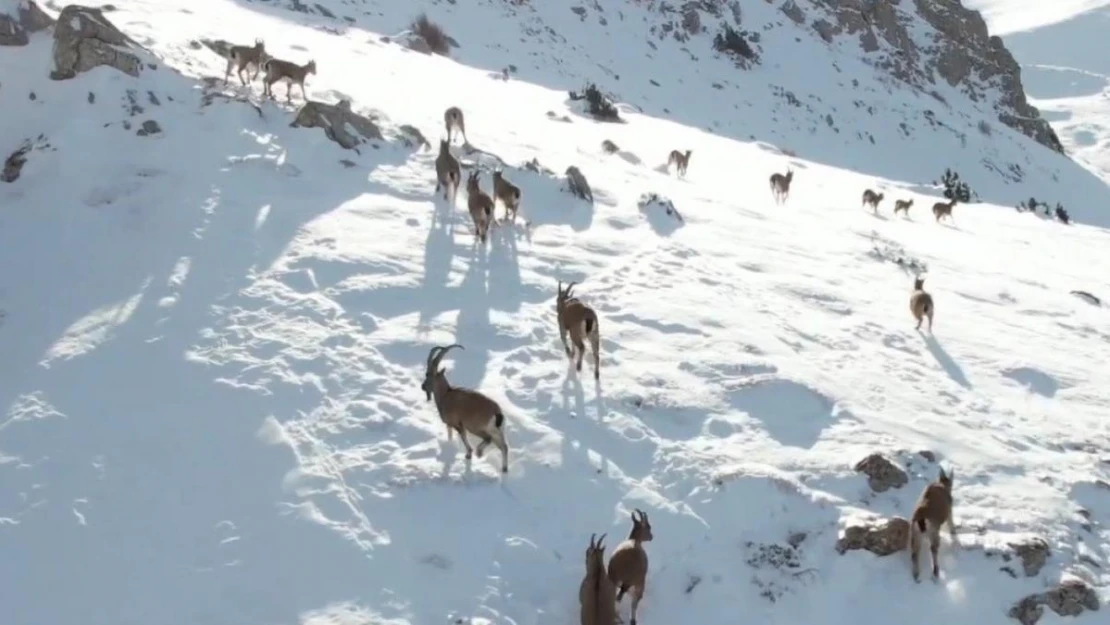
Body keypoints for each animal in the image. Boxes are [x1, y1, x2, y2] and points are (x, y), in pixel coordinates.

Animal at [421, 341, 508, 475]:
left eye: (428, 374)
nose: (423, 386)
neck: (445, 395)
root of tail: (496, 412)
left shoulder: (458, 424)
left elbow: (463, 437)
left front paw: (468, 454)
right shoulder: (452, 425)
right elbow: (451, 435)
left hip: (477, 427)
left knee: (488, 439)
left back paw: (479, 452)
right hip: (497, 430)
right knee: (504, 447)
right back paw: (504, 468)